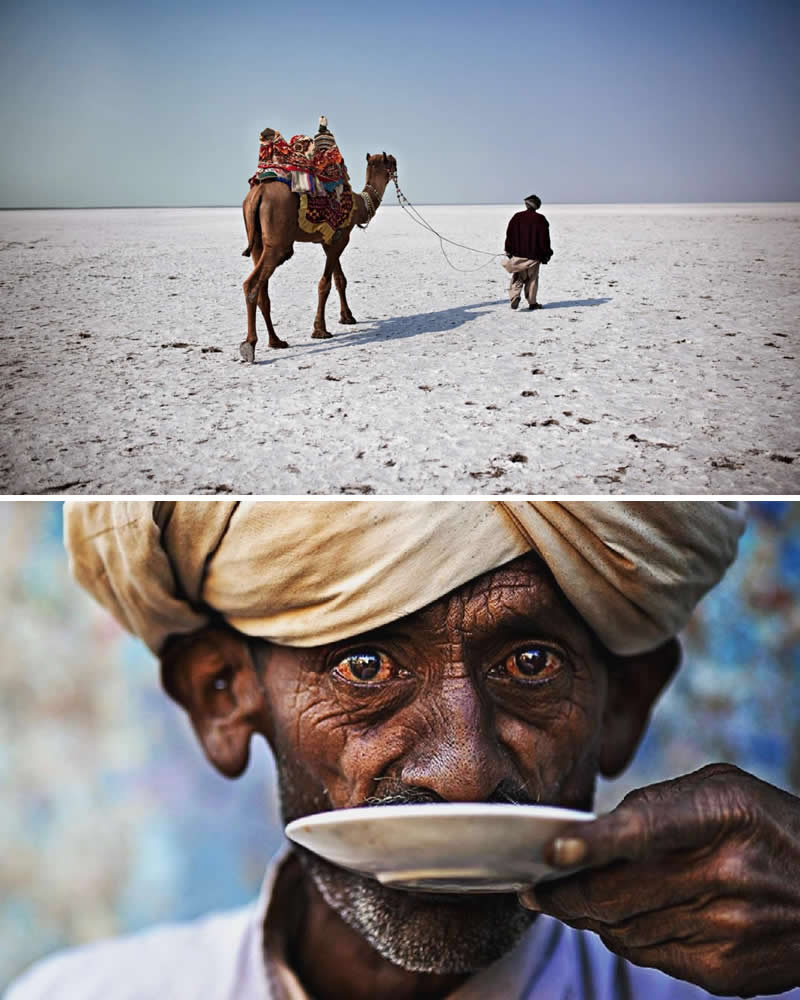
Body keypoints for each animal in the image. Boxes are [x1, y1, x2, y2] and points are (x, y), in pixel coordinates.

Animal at [240, 152, 397, 363]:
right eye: (392, 163)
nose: (396, 168)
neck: (359, 206)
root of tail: (259, 192)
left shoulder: (330, 240)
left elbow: (340, 280)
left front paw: (347, 317)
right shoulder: (340, 239)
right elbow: (325, 284)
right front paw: (320, 330)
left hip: (257, 241)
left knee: (262, 290)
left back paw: (276, 341)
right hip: (277, 243)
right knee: (252, 283)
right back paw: (249, 345)